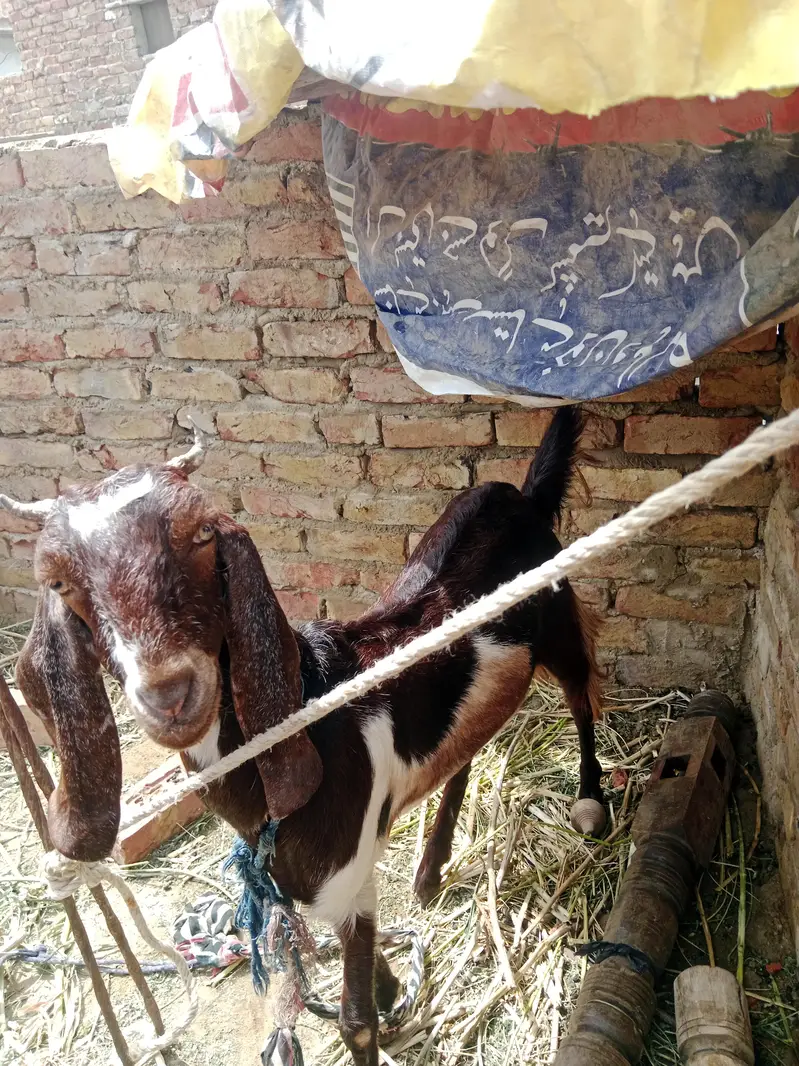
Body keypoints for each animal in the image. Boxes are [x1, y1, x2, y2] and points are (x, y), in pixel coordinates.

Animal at [2, 406, 604, 1066]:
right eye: (60, 583)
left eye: (203, 534)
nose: (170, 692)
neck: (312, 712)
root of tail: (522, 498)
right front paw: (392, 986)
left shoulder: (346, 875)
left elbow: (355, 1021)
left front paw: (377, 1002)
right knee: (466, 750)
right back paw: (430, 870)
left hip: (561, 622)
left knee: (582, 696)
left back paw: (591, 801)